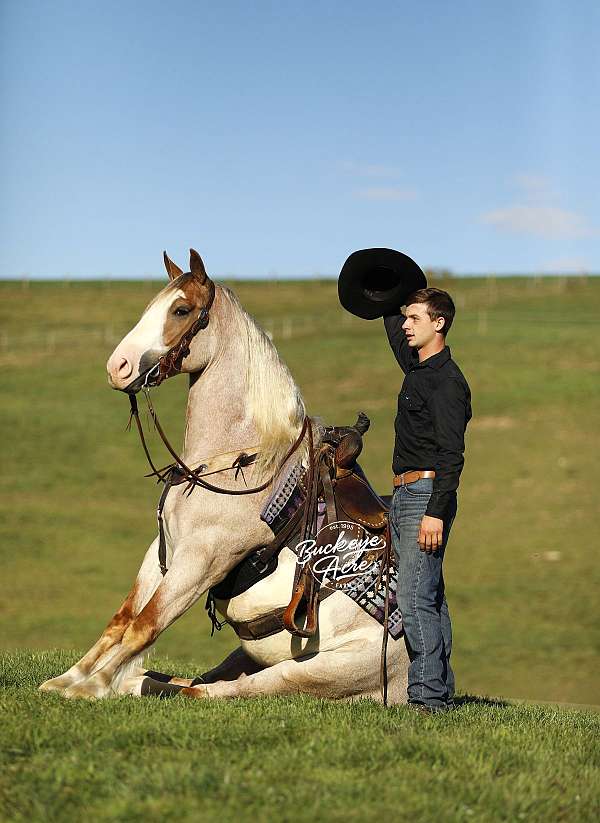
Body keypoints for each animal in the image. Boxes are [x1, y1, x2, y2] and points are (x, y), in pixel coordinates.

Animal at [39, 249, 409, 702]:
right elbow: (121, 620)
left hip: (306, 673)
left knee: (216, 690)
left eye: (181, 310)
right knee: (198, 680)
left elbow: (146, 625)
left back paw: (135, 683)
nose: (117, 367)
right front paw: (67, 679)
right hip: (244, 655)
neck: (238, 464)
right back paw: (137, 681)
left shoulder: (202, 560)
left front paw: (91, 688)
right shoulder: (162, 552)